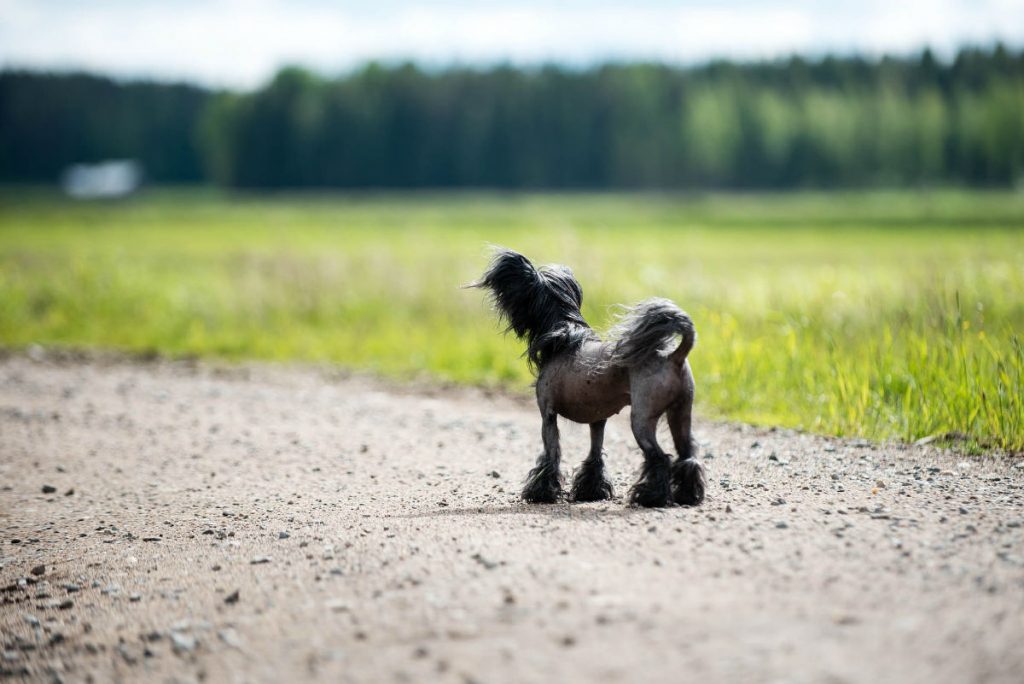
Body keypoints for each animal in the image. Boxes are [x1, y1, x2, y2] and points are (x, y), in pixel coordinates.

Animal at [468, 248, 704, 505]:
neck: (564, 335)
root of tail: (675, 356)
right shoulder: (598, 420)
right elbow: (595, 455)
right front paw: (591, 491)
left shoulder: (547, 415)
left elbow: (551, 455)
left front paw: (541, 493)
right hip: (681, 412)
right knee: (687, 456)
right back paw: (687, 495)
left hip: (642, 418)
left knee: (660, 458)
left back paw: (649, 497)